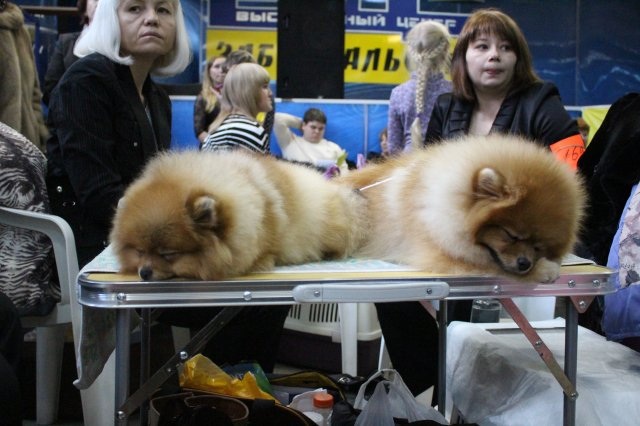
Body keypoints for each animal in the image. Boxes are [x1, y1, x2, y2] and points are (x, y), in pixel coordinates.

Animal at [338, 134, 586, 283]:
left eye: (538, 246)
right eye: (510, 235)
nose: (525, 264)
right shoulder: (438, 253)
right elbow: (489, 266)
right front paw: (544, 270)